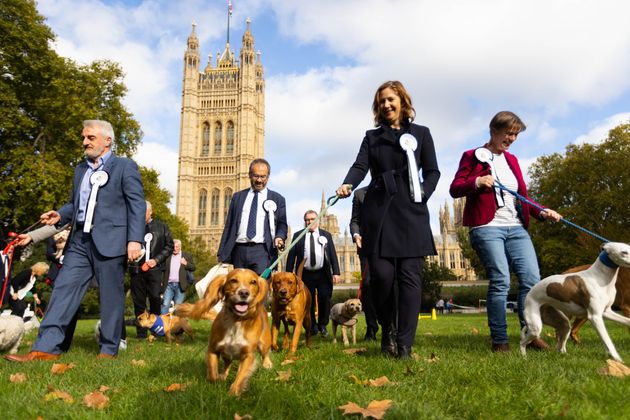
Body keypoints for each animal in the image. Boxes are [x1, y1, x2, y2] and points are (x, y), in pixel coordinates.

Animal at [175, 270, 272, 398]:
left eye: (253, 282)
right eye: (233, 280)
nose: (244, 293)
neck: (236, 321)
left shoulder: (248, 355)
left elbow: (240, 377)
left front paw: (233, 393)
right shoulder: (213, 349)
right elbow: (212, 374)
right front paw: (217, 380)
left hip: (264, 343)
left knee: (265, 353)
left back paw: (267, 364)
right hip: (227, 354)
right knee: (227, 364)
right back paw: (223, 375)